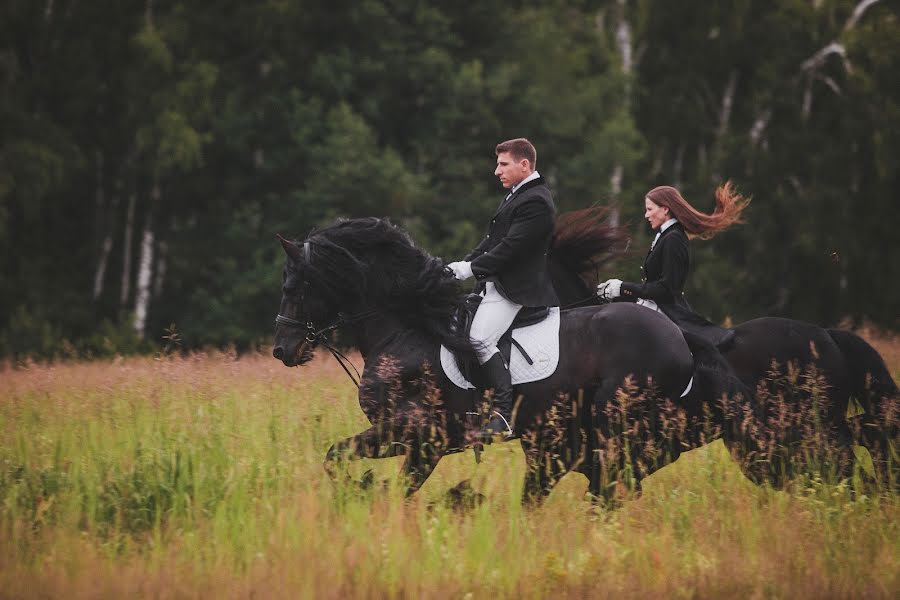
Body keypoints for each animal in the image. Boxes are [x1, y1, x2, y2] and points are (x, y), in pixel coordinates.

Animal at [272, 213, 760, 504]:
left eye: (294, 286)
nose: (283, 350)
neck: (407, 331)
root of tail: (679, 335)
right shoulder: (415, 441)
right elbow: (357, 468)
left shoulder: (416, 432)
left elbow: (357, 466)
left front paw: (367, 489)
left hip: (616, 422)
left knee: (615, 477)